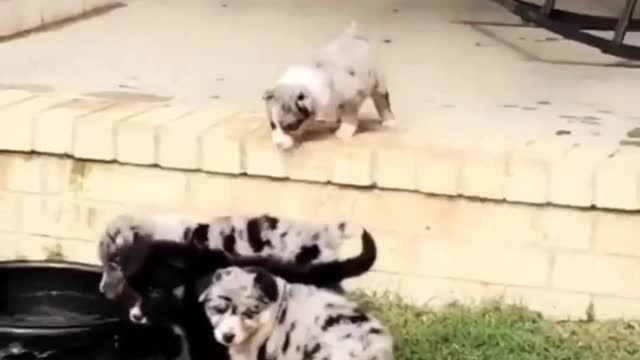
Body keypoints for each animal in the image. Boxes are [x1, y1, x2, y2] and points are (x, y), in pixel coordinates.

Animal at [264, 20, 396, 150]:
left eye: (290, 126)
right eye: (272, 125)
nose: (279, 145)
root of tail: (353, 35)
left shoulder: (350, 98)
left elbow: (350, 116)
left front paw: (344, 132)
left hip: (378, 80)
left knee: (382, 100)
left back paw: (389, 121)